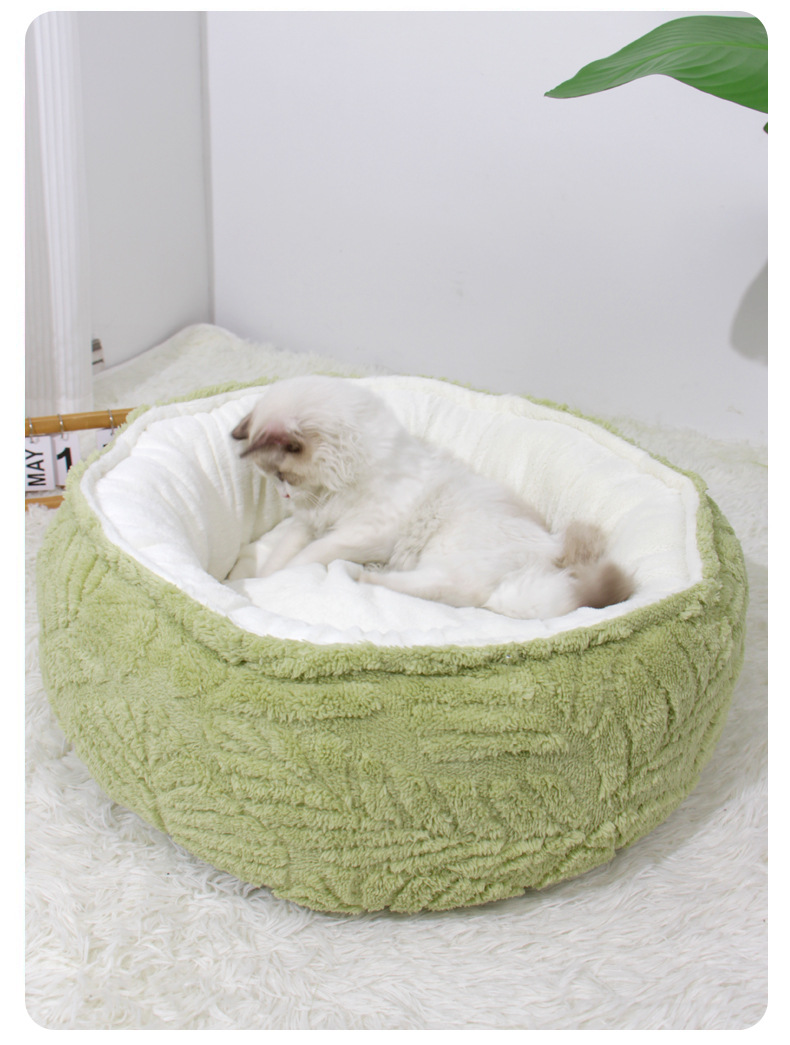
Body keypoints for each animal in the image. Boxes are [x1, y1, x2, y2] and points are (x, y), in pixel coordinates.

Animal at [231, 375, 634, 619]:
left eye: (283, 476)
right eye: (273, 479)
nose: (285, 496)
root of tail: (556, 550)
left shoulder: (363, 532)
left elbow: (307, 557)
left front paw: (277, 579)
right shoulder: (308, 523)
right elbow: (279, 559)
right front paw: (261, 580)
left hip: (447, 549)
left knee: (456, 593)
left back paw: (365, 576)